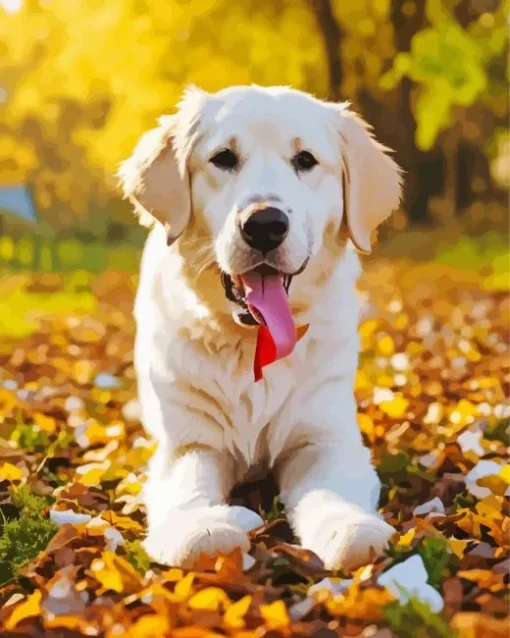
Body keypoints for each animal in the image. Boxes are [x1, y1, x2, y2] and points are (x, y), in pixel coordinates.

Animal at [119, 86, 402, 576]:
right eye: (223, 158)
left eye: (306, 160)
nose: (265, 224)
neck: (252, 341)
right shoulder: (189, 444)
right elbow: (187, 488)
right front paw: (201, 530)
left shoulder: (322, 436)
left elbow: (331, 489)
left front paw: (349, 528)